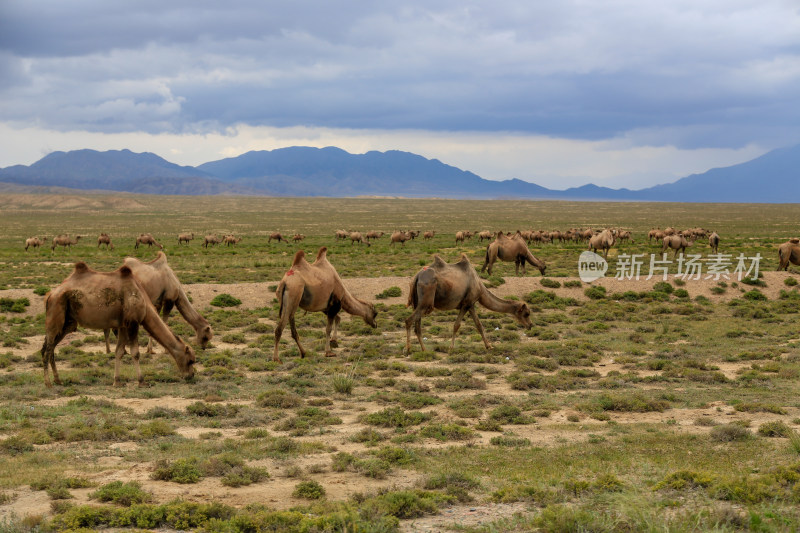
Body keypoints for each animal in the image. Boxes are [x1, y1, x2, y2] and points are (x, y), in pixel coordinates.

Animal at [41, 262, 197, 386]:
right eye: (190, 360)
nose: (191, 375)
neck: (144, 303)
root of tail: (50, 294)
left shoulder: (122, 325)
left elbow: (119, 352)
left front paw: (117, 381)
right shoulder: (133, 322)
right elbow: (135, 353)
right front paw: (141, 381)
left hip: (68, 323)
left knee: (51, 348)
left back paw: (58, 380)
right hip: (55, 314)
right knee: (47, 349)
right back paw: (48, 383)